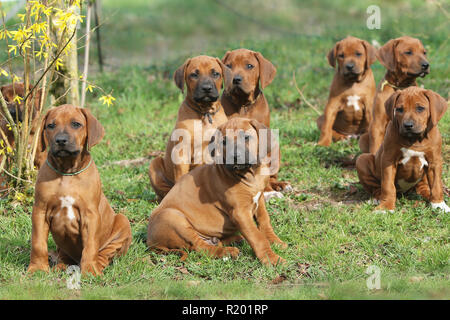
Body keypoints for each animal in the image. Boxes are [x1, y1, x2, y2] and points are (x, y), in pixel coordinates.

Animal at [27, 104, 131, 276]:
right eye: (51, 125)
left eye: (76, 124)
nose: (61, 140)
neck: (67, 172)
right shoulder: (40, 211)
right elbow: (38, 243)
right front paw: (37, 268)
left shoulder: (90, 215)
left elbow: (90, 246)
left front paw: (89, 270)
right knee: (64, 254)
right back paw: (62, 265)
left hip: (123, 222)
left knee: (104, 254)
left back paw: (96, 266)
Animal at [149, 55, 230, 200]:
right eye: (194, 74)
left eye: (215, 74)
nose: (207, 88)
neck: (204, 113)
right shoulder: (181, 152)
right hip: (154, 164)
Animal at [149, 117, 288, 264]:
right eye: (224, 142)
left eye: (246, 137)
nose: (235, 156)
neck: (250, 175)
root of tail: (150, 241)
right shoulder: (240, 213)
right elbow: (257, 236)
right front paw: (272, 259)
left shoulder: (259, 199)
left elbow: (264, 221)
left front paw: (275, 241)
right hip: (172, 217)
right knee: (200, 247)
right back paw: (228, 252)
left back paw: (236, 240)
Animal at [221, 49, 292, 198]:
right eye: (228, 66)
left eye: (249, 66)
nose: (236, 79)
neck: (243, 105)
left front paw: (268, 191)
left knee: (271, 177)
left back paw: (279, 185)